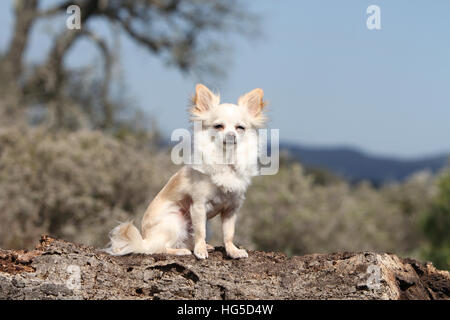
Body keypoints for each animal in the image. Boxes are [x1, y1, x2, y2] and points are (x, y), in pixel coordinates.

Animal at [104, 84, 268, 260]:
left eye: (240, 128)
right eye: (218, 126)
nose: (231, 135)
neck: (226, 160)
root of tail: (146, 239)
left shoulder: (231, 209)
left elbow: (229, 234)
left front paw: (232, 250)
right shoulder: (198, 206)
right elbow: (201, 231)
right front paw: (200, 250)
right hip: (175, 221)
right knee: (159, 247)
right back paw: (181, 251)